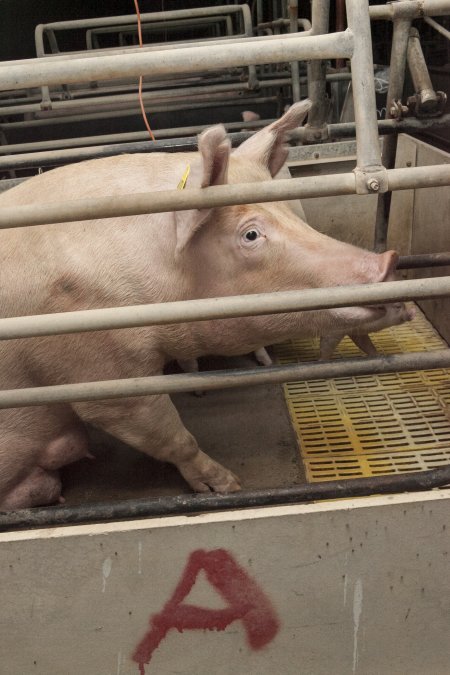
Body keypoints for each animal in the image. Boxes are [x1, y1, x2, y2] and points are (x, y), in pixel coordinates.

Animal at [0, 100, 398, 508]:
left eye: (295, 213)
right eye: (251, 235)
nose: (387, 263)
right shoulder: (100, 371)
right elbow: (172, 437)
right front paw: (229, 486)